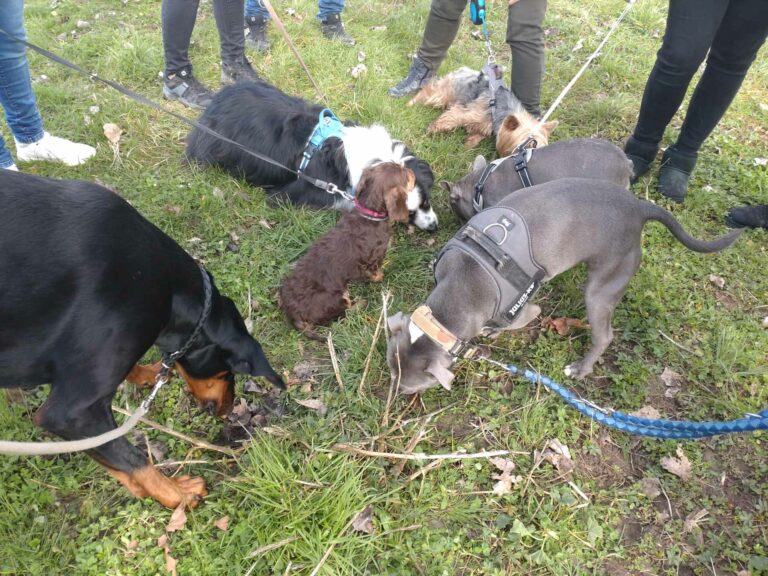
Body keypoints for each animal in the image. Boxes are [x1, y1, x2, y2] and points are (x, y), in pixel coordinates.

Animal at [0, 170, 284, 508]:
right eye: (227, 371)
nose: (228, 411)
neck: (169, 290)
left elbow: (115, 460)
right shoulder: (70, 414)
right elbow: (132, 457)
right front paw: (178, 495)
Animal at [388, 179, 740, 396]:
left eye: (409, 388)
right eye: (392, 371)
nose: (391, 396)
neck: (461, 285)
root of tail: (639, 207)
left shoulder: (523, 308)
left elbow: (515, 320)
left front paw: (494, 331)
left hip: (601, 287)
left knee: (604, 334)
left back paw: (580, 369)